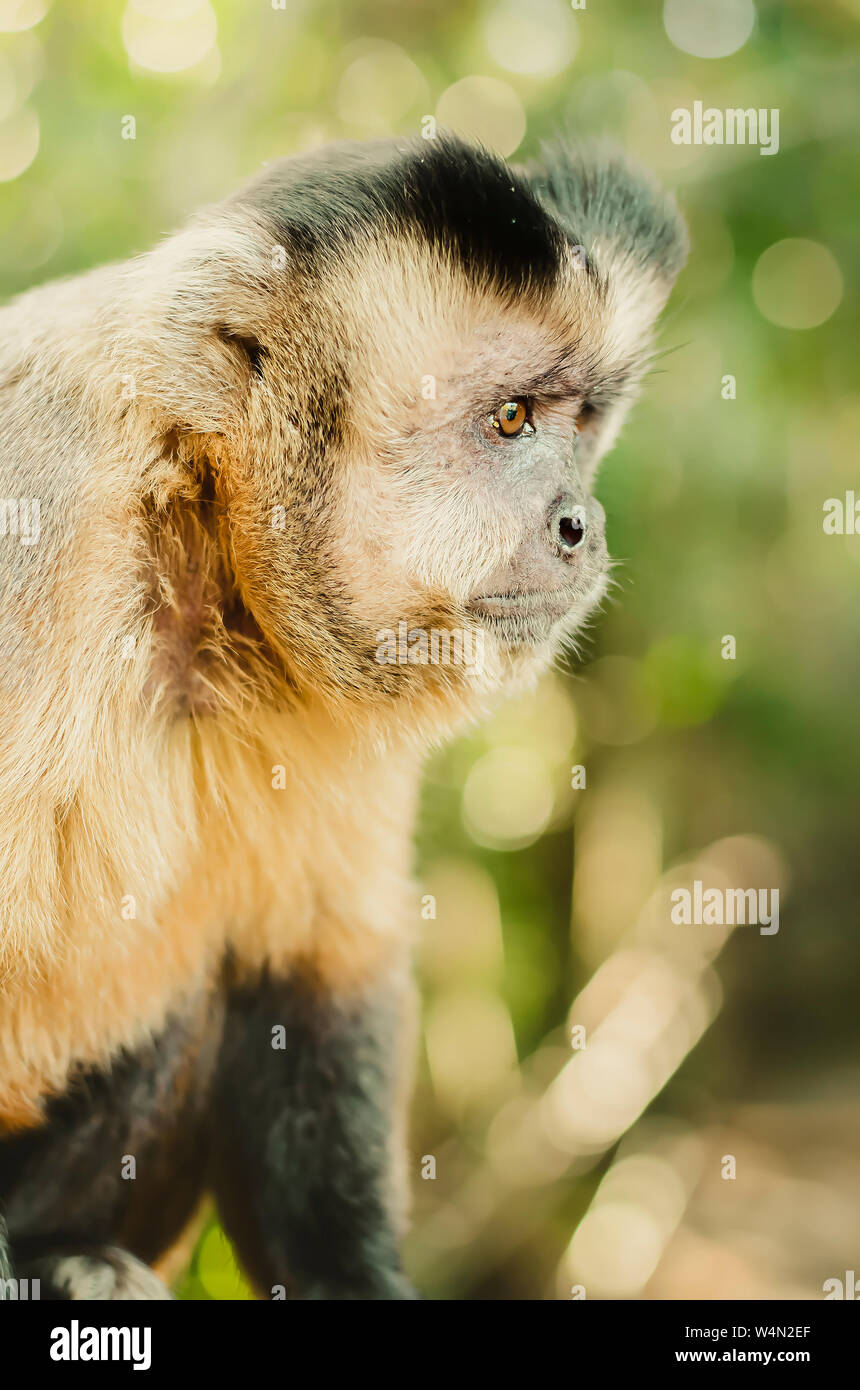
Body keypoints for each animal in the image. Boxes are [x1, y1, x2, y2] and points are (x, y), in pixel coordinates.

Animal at [0, 135, 686, 1295]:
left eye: (579, 423)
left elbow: (313, 975)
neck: (191, 534)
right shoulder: (41, 517)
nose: (580, 521)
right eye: (509, 419)